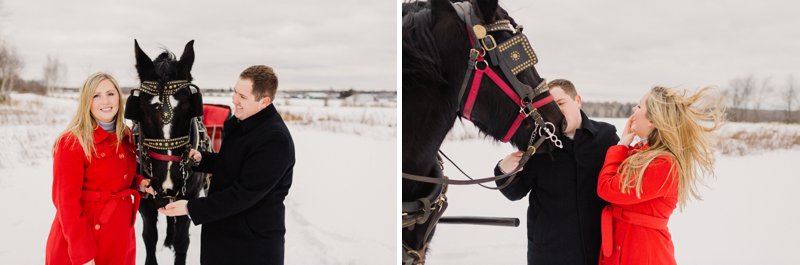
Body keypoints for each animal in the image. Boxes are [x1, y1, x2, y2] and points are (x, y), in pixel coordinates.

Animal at [123, 39, 211, 264]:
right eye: (141, 110)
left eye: (189, 109)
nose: (166, 181)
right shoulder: (145, 204)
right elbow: (149, 238)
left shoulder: (188, 199)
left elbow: (182, 241)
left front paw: (175, 243)